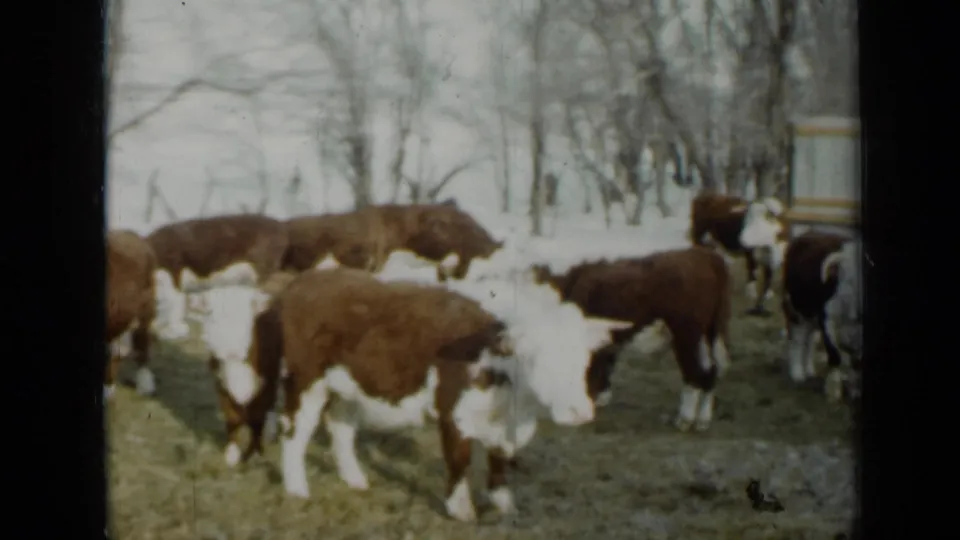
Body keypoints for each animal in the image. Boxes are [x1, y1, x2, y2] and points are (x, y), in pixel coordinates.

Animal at [196, 268, 629, 521]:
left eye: (584, 358)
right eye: (536, 356)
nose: (579, 411)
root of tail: (310, 279)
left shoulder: (506, 428)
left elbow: (500, 461)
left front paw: (504, 504)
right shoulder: (453, 413)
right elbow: (459, 461)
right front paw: (461, 509)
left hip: (348, 386)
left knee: (341, 430)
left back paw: (355, 479)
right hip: (306, 381)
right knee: (294, 432)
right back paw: (296, 487)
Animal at [532, 246, 733, 432]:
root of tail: (705, 255)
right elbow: (605, 363)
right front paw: (601, 396)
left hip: (687, 333)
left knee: (694, 372)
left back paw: (685, 419)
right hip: (710, 332)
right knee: (711, 370)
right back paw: (703, 420)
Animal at [781, 231, 862, 402]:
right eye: (848, 280)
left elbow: (857, 362)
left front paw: (856, 391)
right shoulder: (828, 322)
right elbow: (834, 355)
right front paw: (834, 392)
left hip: (812, 316)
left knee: (810, 340)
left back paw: (810, 370)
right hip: (796, 311)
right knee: (797, 340)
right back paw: (797, 374)